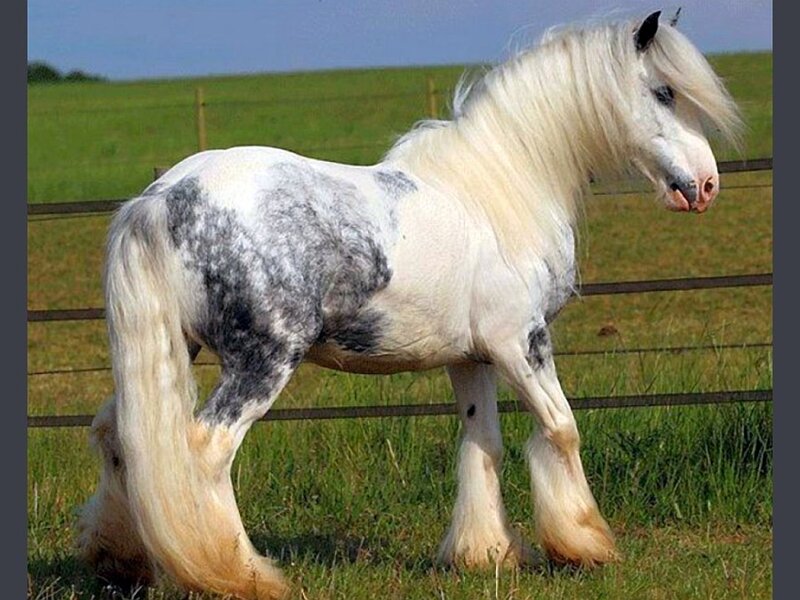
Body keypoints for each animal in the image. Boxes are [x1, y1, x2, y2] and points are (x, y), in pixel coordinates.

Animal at [75, 11, 740, 599]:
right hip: (262, 361)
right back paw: (238, 576)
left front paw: (487, 555)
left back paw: (122, 561)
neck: (504, 186)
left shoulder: (472, 358)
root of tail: (162, 198)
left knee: (117, 435)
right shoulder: (521, 343)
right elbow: (561, 428)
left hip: (173, 348)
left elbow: (484, 443)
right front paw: (585, 545)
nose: (707, 185)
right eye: (663, 92)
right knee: (207, 450)